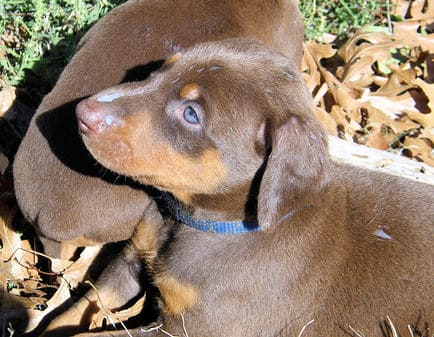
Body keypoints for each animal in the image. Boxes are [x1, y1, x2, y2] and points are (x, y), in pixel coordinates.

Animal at [62, 38, 434, 334]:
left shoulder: (189, 328)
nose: (82, 112)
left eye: (191, 114)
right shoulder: (128, 262)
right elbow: (71, 313)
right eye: (159, 71)